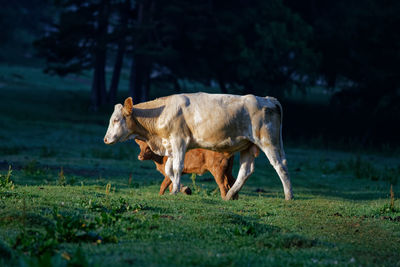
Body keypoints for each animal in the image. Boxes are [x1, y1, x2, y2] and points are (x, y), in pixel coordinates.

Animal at [104, 93, 292, 200]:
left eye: (116, 120)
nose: (105, 139)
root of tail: (267, 99)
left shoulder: (179, 141)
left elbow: (177, 168)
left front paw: (175, 191)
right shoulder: (171, 146)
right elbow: (170, 170)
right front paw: (182, 189)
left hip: (268, 141)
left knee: (280, 165)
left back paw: (288, 196)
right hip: (248, 145)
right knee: (245, 171)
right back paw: (230, 195)